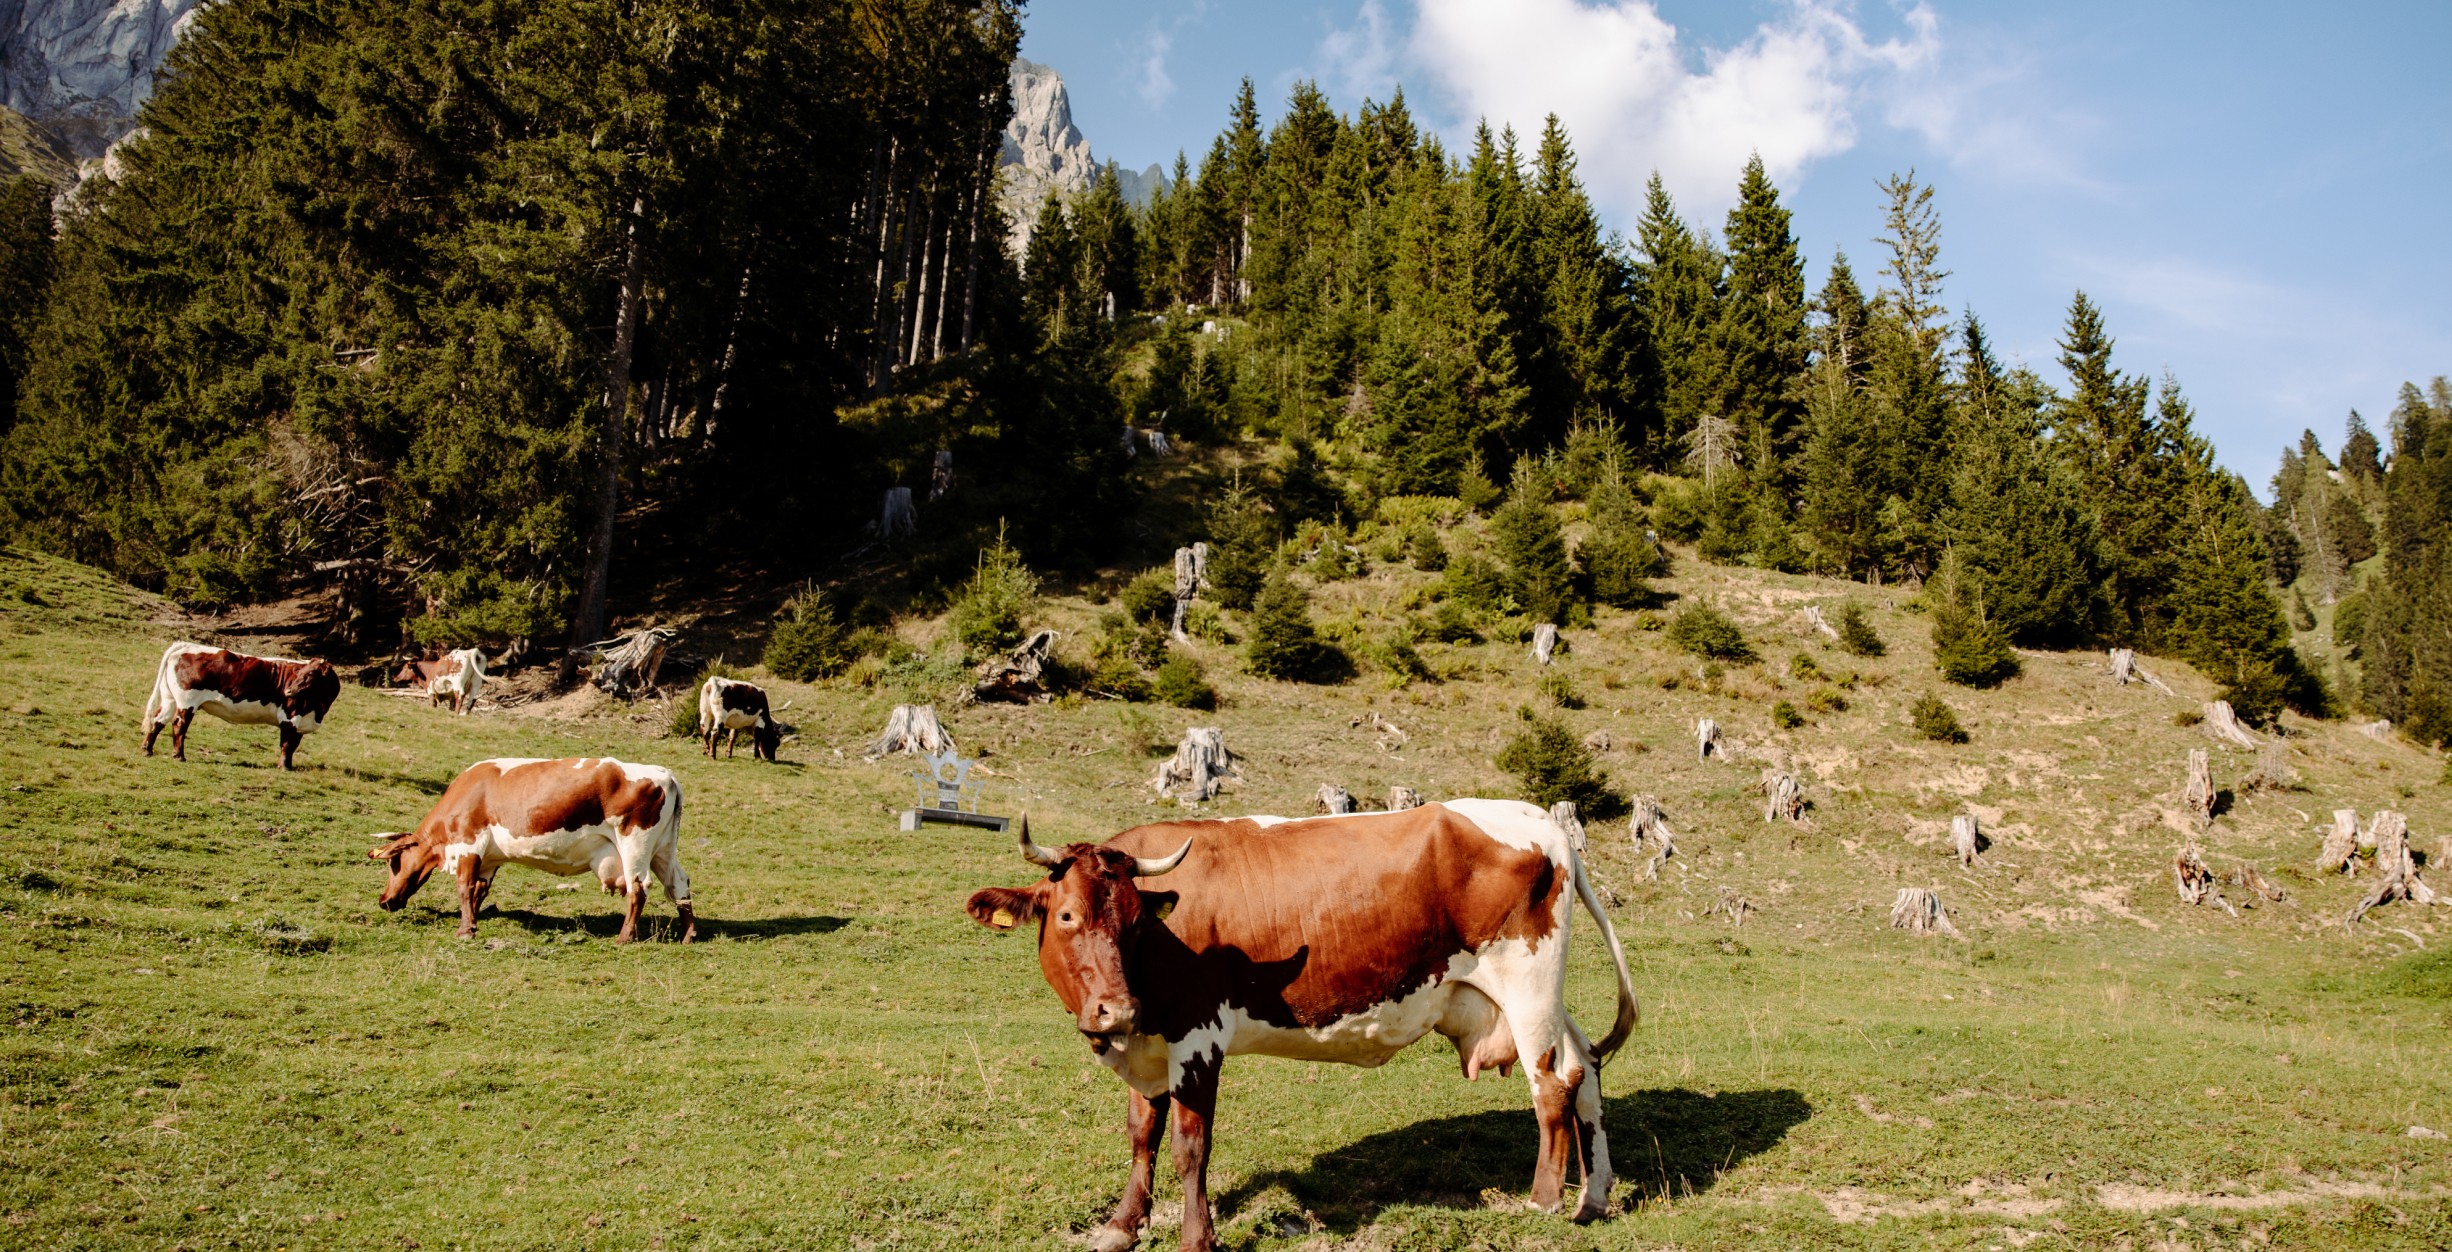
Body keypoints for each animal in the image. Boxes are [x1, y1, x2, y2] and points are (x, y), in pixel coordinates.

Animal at [141, 641, 340, 771]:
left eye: (311, 674)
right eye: (300, 673)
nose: (288, 691)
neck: (318, 710)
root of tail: (187, 645)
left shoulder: (300, 723)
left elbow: (293, 746)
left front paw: (289, 766)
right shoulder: (290, 717)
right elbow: (286, 744)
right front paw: (284, 767)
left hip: (170, 698)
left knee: (158, 720)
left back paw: (147, 750)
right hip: (187, 702)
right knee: (179, 725)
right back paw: (179, 756)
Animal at [367, 756, 692, 943]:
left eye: (393, 863)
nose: (384, 901)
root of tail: (664, 773)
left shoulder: (469, 844)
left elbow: (464, 886)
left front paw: (465, 931)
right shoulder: (488, 858)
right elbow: (479, 890)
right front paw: (474, 921)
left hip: (635, 845)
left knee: (638, 888)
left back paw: (624, 937)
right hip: (663, 849)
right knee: (679, 883)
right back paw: (688, 934)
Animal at [965, 799, 1639, 1252]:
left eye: (1136, 924)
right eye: (1069, 916)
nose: (1116, 1008)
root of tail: (1542, 821)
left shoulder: (1198, 1036)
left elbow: (1189, 1145)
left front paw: (1196, 1237)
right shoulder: (1147, 1044)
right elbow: (1141, 1134)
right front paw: (1122, 1226)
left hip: (1527, 983)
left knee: (1550, 1085)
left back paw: (1545, 1200)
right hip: (1536, 997)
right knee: (1584, 1068)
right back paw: (1594, 1195)